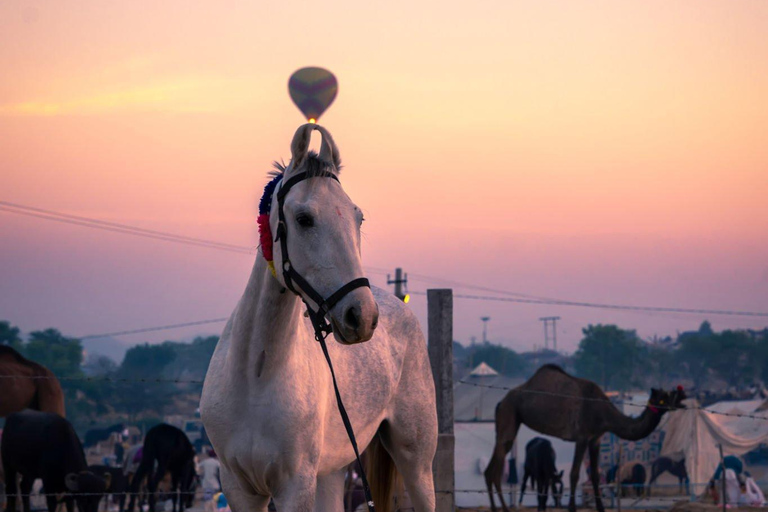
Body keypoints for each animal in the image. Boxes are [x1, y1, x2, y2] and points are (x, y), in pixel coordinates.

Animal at [198, 124, 438, 512]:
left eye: (358, 217)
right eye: (304, 219)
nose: (362, 316)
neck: (255, 376)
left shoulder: (295, 487)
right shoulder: (239, 488)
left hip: (415, 460)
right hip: (333, 472)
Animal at [484, 364, 688, 512]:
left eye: (671, 394)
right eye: (662, 399)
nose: (682, 398)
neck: (603, 413)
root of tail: (501, 402)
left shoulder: (595, 439)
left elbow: (596, 476)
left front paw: (601, 508)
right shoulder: (581, 437)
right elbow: (574, 474)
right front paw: (572, 508)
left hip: (508, 420)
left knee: (490, 468)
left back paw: (496, 508)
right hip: (509, 414)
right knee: (496, 467)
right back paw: (502, 508)